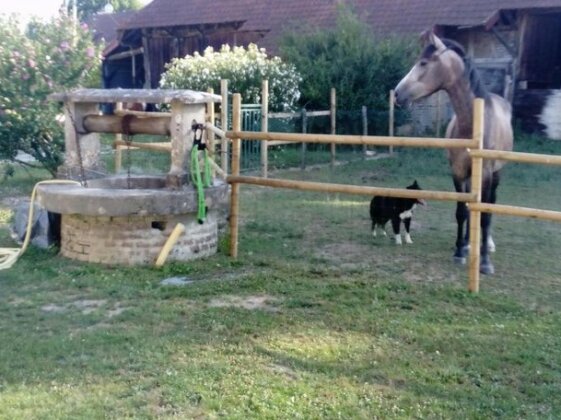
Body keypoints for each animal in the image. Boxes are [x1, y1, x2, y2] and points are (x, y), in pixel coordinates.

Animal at [394, 31, 512, 274]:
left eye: (423, 62)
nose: (397, 94)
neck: (474, 125)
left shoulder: (486, 175)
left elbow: (484, 214)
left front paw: (485, 262)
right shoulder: (457, 172)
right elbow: (462, 212)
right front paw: (459, 250)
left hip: (496, 174)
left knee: (489, 205)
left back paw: (486, 244)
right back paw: (468, 244)